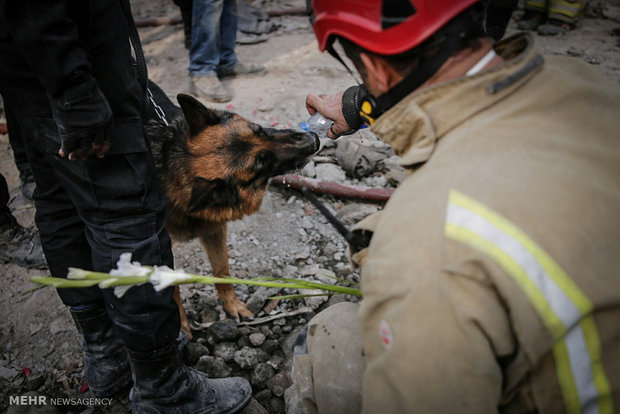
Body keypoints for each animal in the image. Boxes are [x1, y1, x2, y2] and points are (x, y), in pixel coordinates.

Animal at [145, 82, 320, 334]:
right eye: (263, 161)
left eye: (260, 130)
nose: (313, 139)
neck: (175, 169)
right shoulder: (162, 248)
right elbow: (173, 288)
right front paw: (180, 325)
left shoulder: (214, 230)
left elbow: (222, 269)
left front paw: (231, 304)